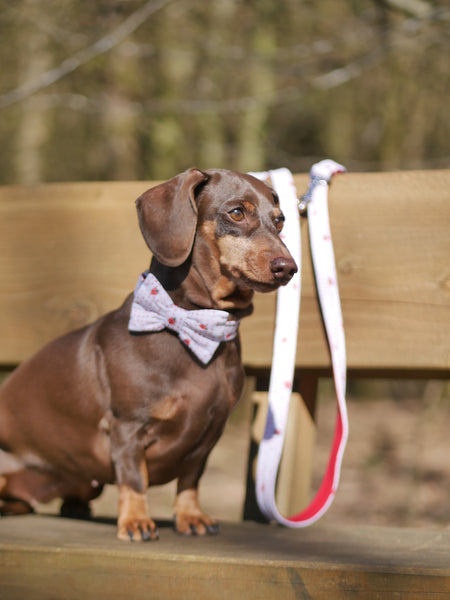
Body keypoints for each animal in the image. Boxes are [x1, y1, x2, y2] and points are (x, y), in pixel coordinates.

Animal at [0, 168, 298, 540]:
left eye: (280, 220)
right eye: (236, 213)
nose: (289, 267)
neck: (192, 325)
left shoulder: (209, 435)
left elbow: (190, 480)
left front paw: (191, 516)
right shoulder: (128, 427)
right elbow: (134, 479)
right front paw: (135, 521)